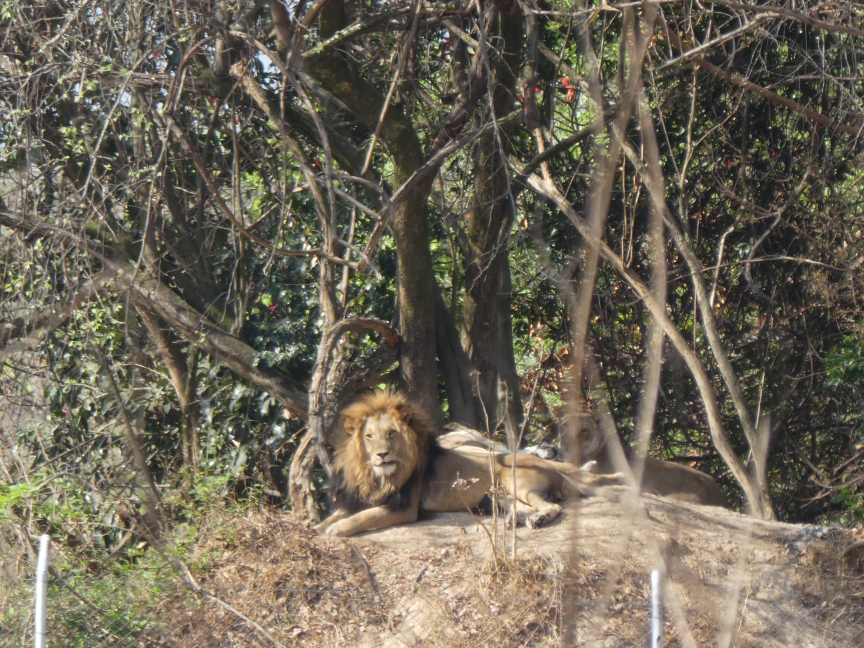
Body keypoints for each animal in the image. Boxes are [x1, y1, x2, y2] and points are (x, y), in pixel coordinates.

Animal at [315, 389, 623, 537]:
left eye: (391, 434)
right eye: (369, 436)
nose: (381, 455)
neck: (376, 476)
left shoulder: (404, 507)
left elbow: (365, 517)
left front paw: (338, 529)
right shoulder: (362, 497)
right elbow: (336, 515)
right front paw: (319, 527)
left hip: (517, 480)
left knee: (554, 505)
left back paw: (538, 518)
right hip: (500, 494)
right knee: (524, 506)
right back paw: (515, 519)